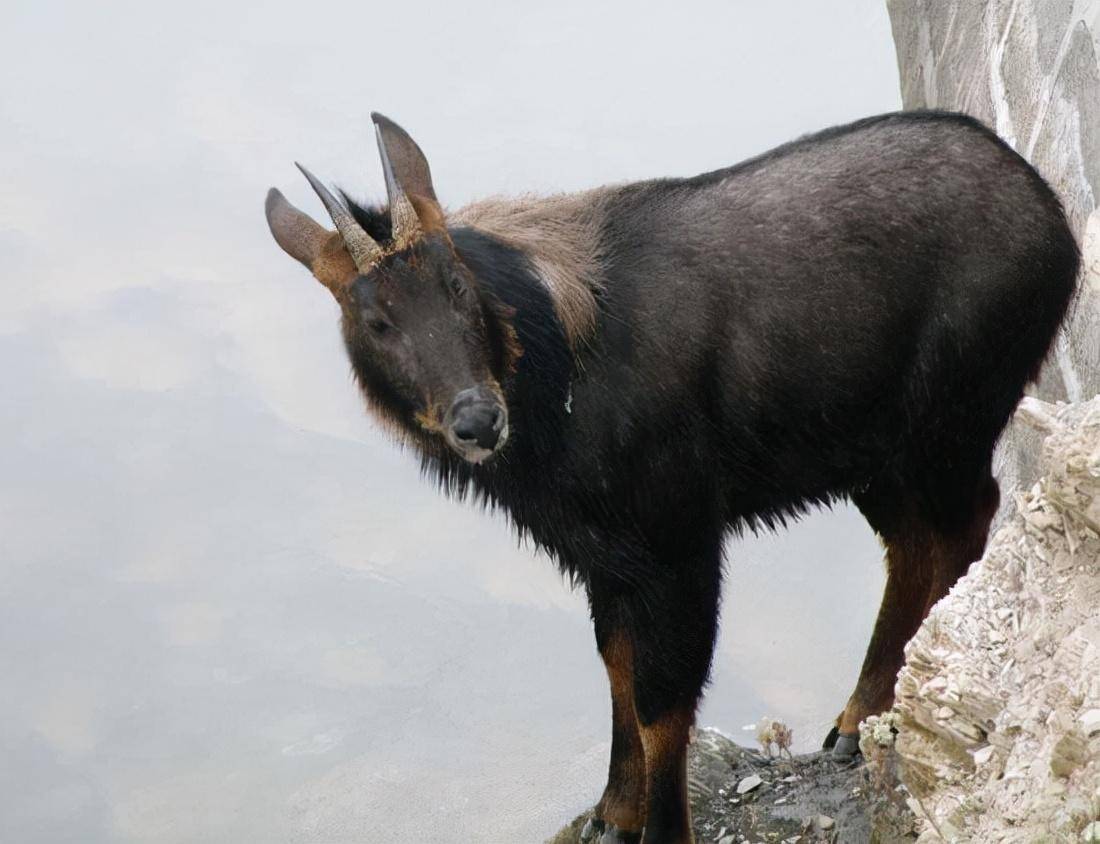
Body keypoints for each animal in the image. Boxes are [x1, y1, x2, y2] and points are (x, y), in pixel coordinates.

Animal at [264, 113, 1073, 844]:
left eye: (456, 281)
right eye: (373, 320)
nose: (476, 418)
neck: (557, 379)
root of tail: (1057, 227)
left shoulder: (677, 538)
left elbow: (664, 704)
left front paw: (659, 829)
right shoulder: (604, 557)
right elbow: (619, 673)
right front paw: (612, 815)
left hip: (948, 423)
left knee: (968, 522)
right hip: (881, 458)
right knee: (917, 544)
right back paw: (855, 720)